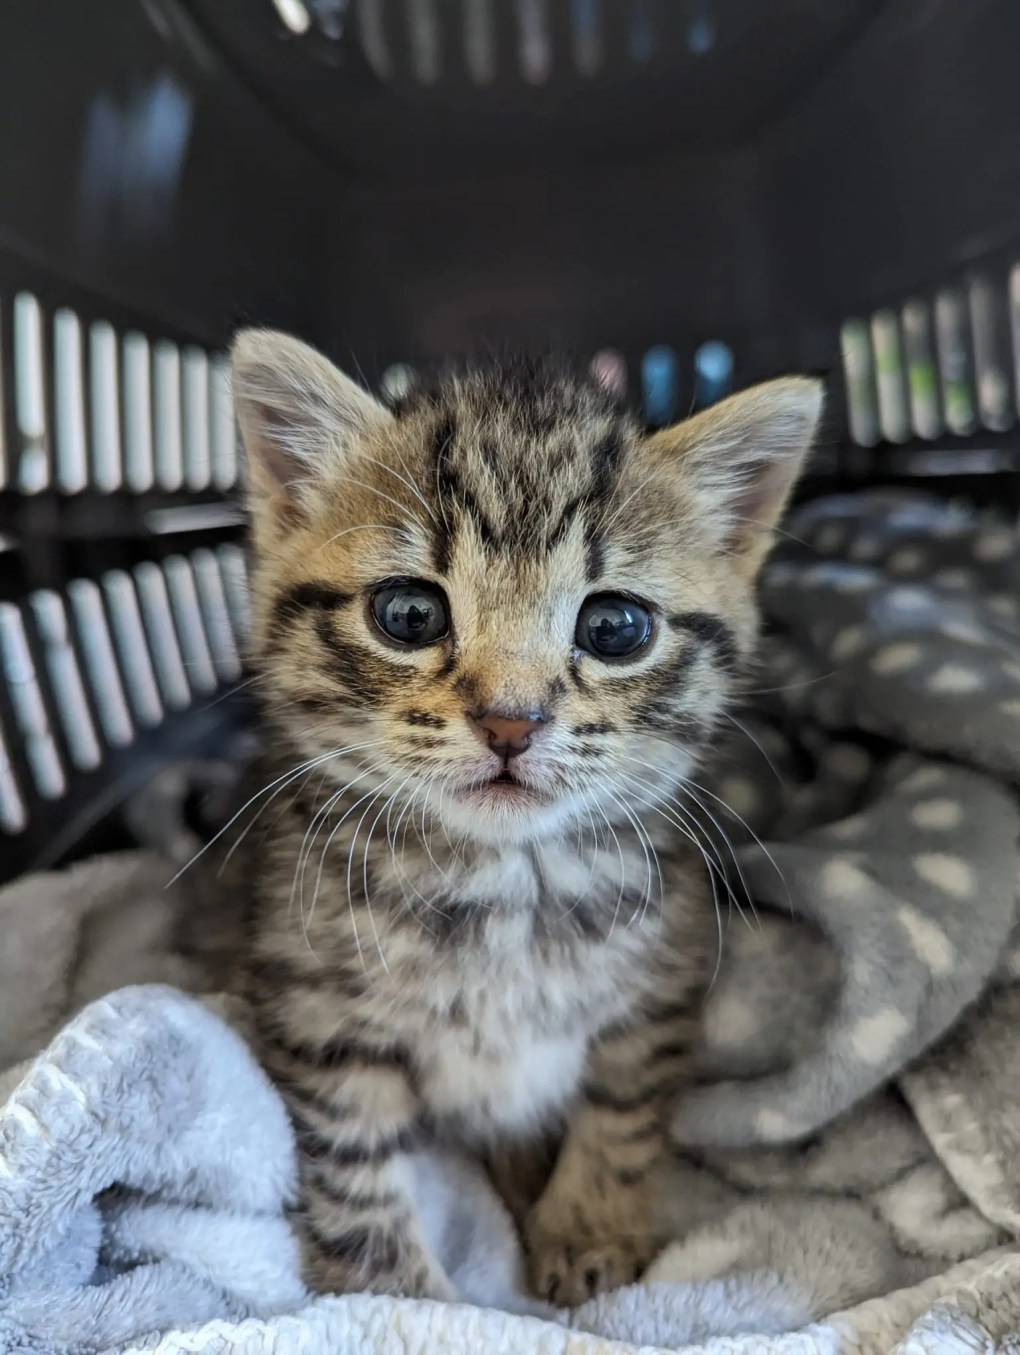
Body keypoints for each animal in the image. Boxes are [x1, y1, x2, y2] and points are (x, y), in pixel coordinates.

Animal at [224, 333, 818, 1306]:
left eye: (614, 626)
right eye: (409, 613)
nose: (510, 721)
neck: (505, 885)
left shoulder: (660, 979)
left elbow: (622, 1111)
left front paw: (587, 1228)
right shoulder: (313, 1006)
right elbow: (354, 1162)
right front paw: (400, 1302)